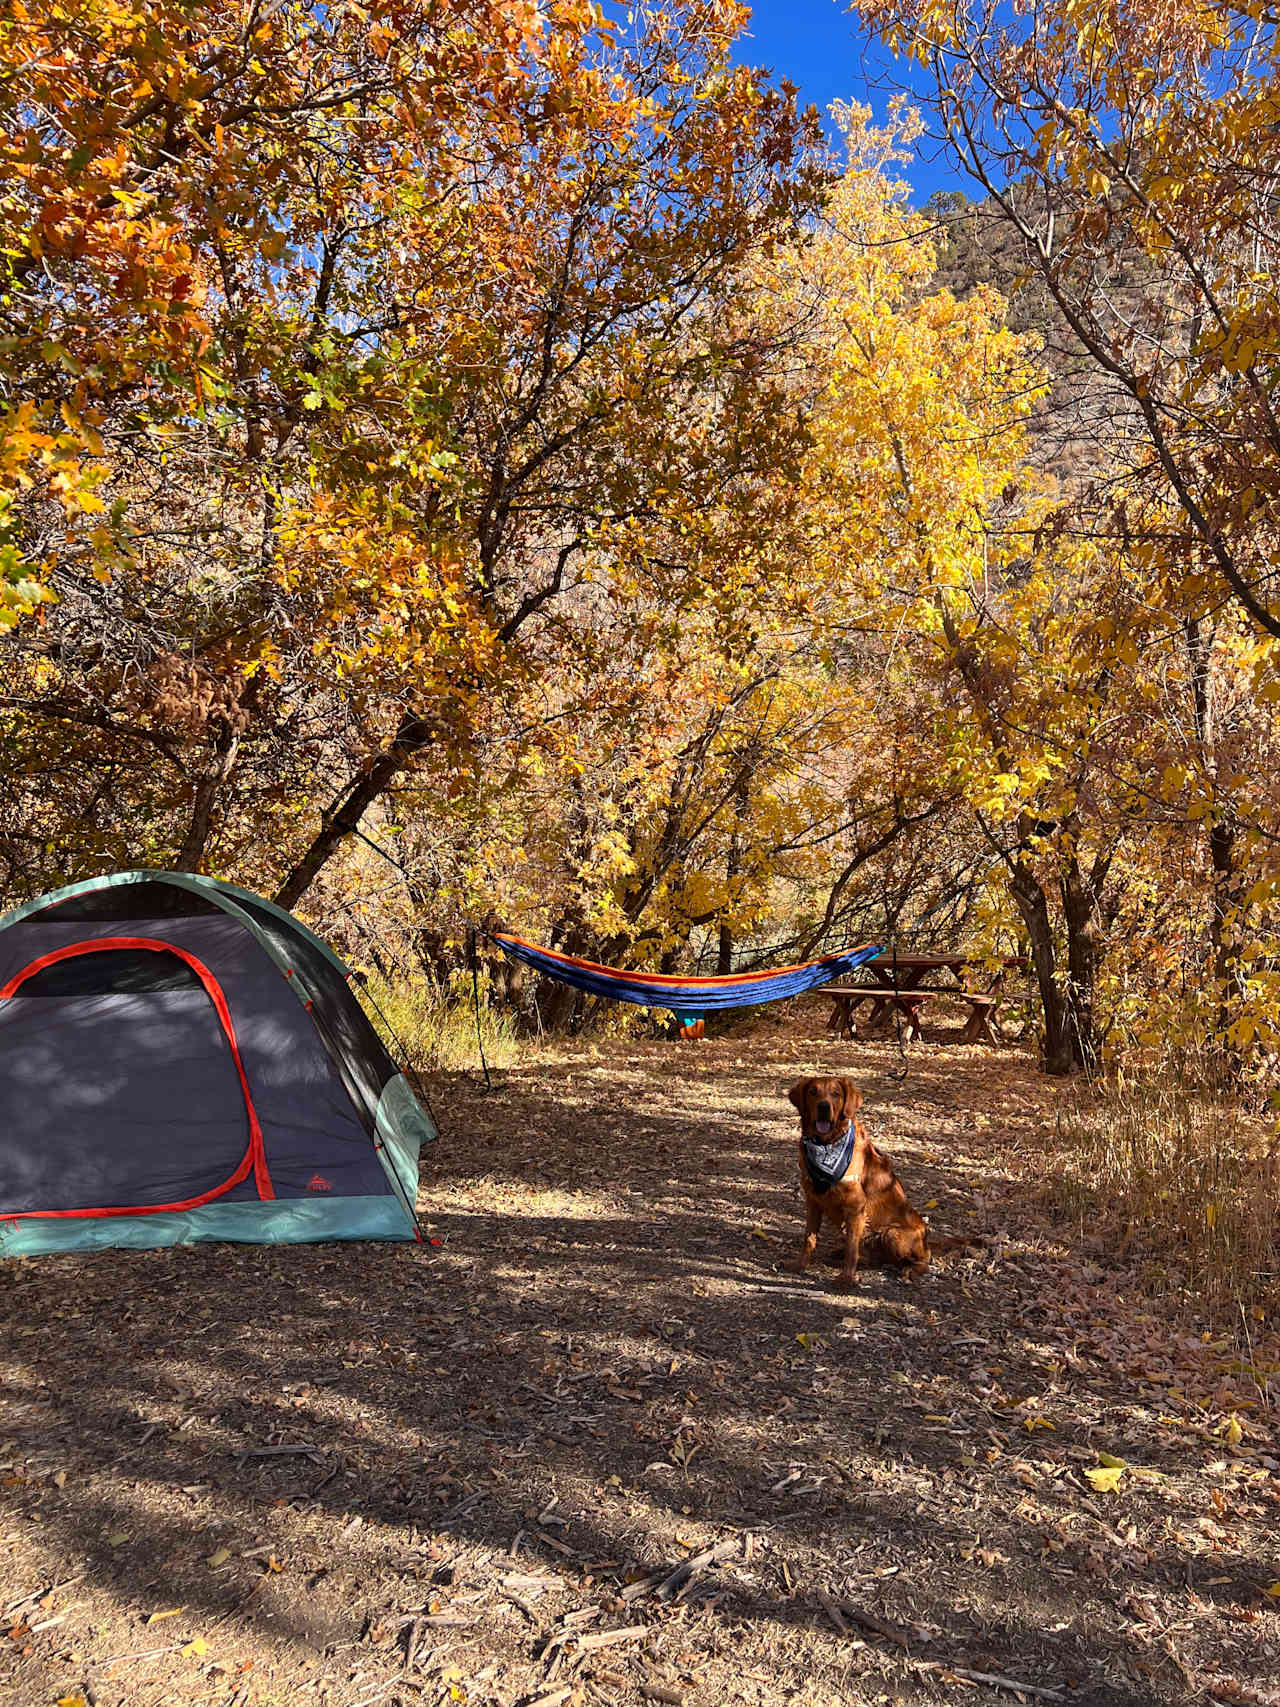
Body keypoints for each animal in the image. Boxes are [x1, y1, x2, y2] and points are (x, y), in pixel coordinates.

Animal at [788, 1071, 976, 1283]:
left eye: (836, 1093)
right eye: (813, 1092)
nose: (823, 1107)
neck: (826, 1144)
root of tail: (927, 1241)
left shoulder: (855, 1206)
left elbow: (851, 1247)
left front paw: (846, 1278)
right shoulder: (813, 1200)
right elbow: (809, 1238)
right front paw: (799, 1265)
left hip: (892, 1234)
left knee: (923, 1262)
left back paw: (910, 1270)